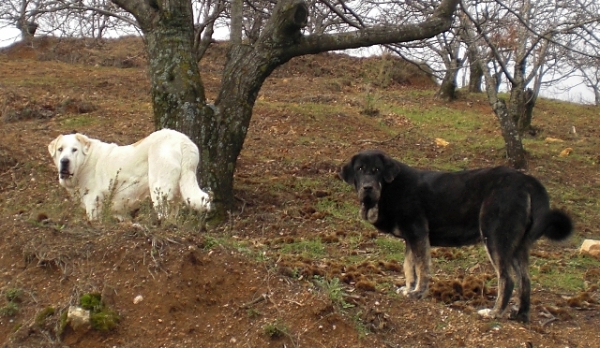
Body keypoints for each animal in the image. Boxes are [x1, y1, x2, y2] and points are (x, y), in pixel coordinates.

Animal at [49, 128, 213, 220]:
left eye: (74, 150)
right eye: (60, 149)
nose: (64, 161)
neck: (85, 161)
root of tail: (182, 140)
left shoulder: (93, 202)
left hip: (159, 189)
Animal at [342, 148, 572, 322]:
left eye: (377, 170)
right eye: (360, 169)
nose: (367, 187)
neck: (389, 189)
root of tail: (527, 181)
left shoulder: (418, 233)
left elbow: (422, 268)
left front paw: (417, 293)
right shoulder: (411, 239)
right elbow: (409, 267)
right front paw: (408, 289)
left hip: (495, 238)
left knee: (507, 280)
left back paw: (494, 313)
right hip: (517, 247)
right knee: (525, 281)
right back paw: (520, 315)